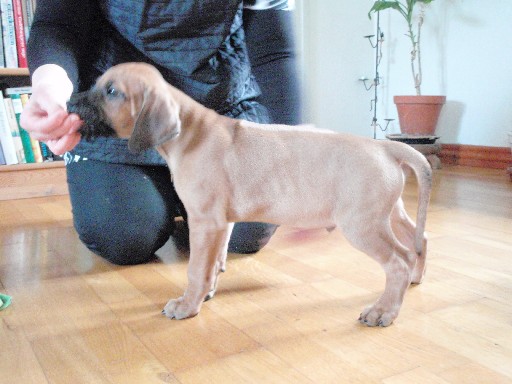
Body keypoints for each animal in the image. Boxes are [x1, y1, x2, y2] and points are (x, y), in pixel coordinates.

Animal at [68, 63, 432, 328]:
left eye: (112, 91)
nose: (70, 102)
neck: (190, 133)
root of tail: (385, 147)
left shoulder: (205, 222)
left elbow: (196, 267)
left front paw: (187, 305)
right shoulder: (221, 224)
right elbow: (214, 262)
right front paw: (206, 293)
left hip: (362, 224)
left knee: (398, 261)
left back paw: (384, 310)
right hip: (388, 213)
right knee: (418, 239)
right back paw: (414, 280)